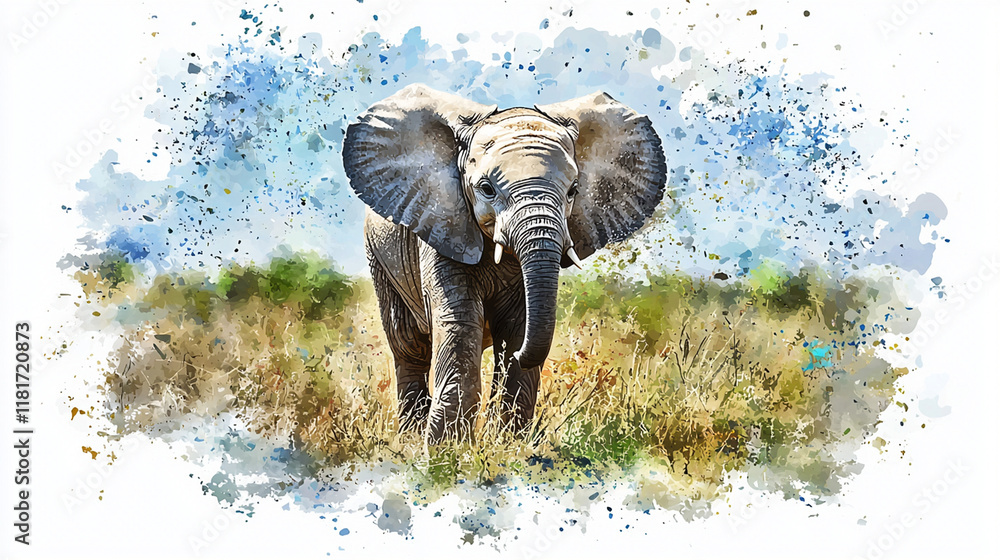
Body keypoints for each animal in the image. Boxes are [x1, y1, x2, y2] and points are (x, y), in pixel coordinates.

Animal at [342, 84, 667, 443]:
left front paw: (508, 444)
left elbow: (518, 327)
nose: (522, 354)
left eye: (573, 191)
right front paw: (446, 452)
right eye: (486, 189)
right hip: (379, 255)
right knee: (408, 346)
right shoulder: (441, 225)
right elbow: (458, 325)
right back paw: (410, 438)